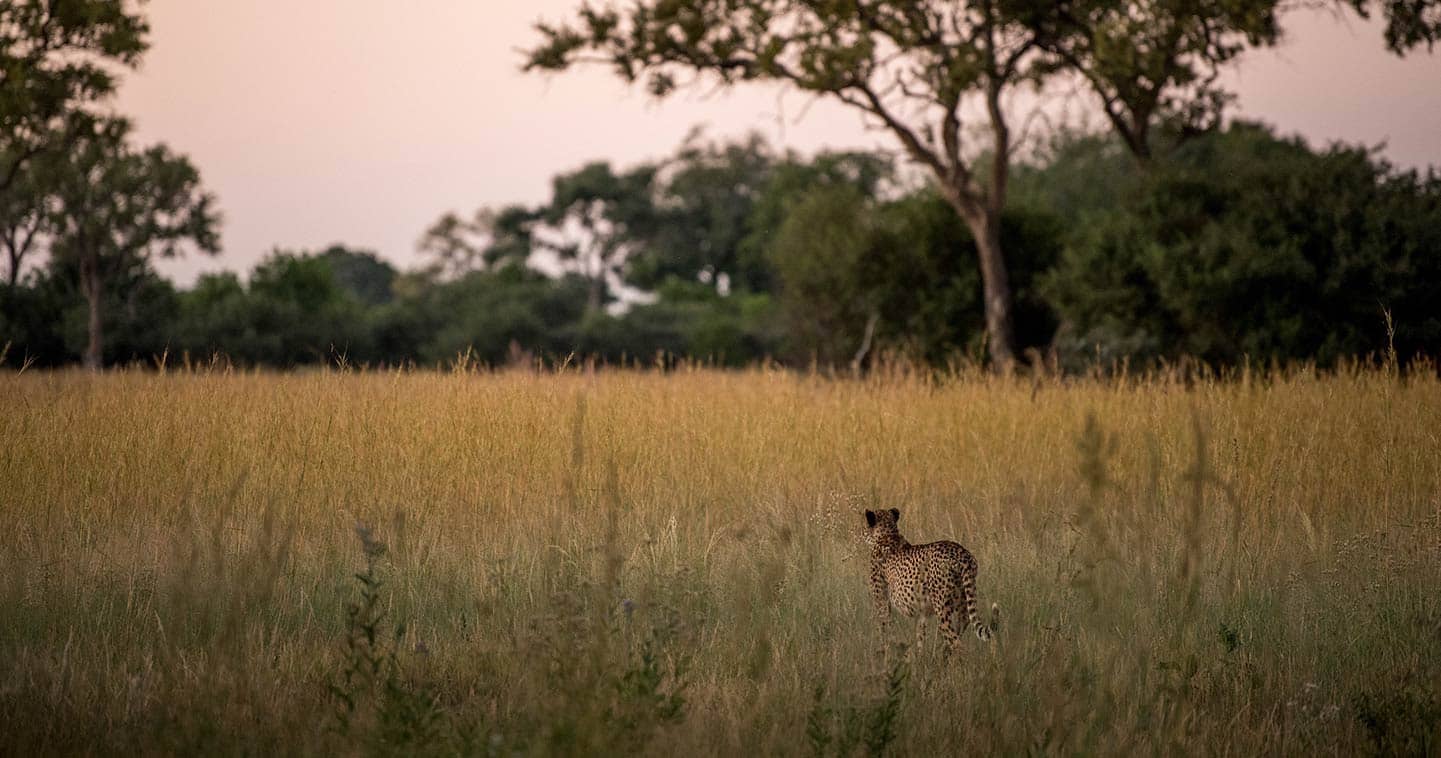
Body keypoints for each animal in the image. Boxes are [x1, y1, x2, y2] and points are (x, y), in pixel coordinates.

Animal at [858, 507, 997, 657]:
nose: (860, 532)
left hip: (942, 609)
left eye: (864, 525)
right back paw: (943, 654)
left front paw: (886, 653)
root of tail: (961, 553)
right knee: (960, 628)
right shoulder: (922, 611)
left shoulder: (881, 601)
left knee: (956, 643)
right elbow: (920, 634)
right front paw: (920, 657)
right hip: (962, 604)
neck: (887, 535)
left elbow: (885, 628)